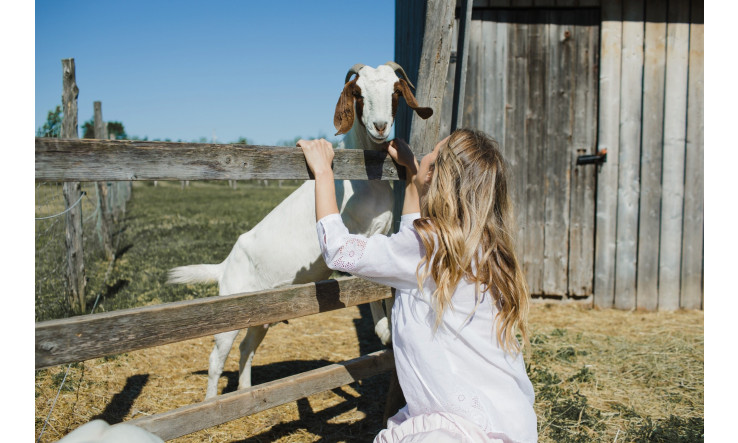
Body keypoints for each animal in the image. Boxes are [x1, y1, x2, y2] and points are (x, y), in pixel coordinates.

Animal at [167, 62, 432, 398]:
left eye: (396, 91)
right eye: (358, 93)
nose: (381, 126)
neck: (363, 181)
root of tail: (224, 265)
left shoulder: (383, 236)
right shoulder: (357, 243)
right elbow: (369, 288)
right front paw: (384, 330)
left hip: (262, 314)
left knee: (246, 348)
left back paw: (246, 392)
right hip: (230, 308)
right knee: (217, 356)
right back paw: (212, 402)